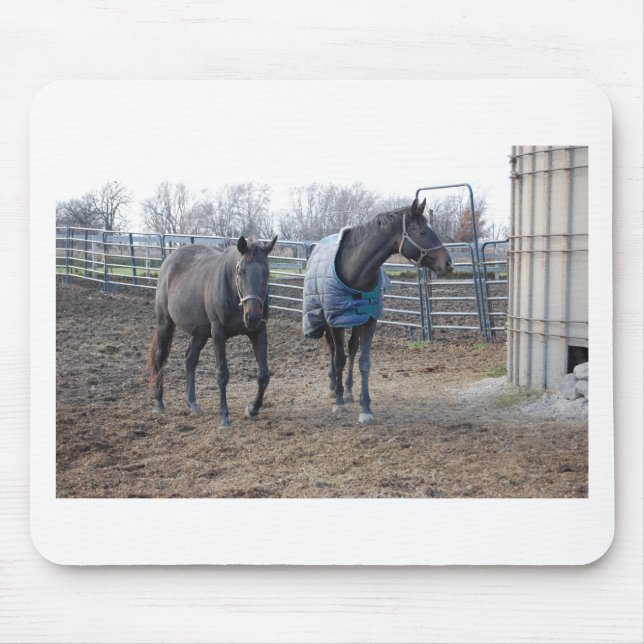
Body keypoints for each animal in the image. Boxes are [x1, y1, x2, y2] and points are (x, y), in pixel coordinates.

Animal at [146, 235, 277, 429]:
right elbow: (222, 374)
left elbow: (264, 375)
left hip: (200, 333)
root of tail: (169, 261)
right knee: (160, 358)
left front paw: (252, 409)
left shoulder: (259, 331)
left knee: (190, 358)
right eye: (241, 272)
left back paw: (192, 402)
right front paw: (224, 417)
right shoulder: (218, 333)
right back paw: (158, 402)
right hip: (165, 323)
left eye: (267, 273)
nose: (252, 316)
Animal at [303, 197, 453, 425]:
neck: (355, 269)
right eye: (421, 231)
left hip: (356, 319)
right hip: (327, 320)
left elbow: (364, 361)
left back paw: (348, 391)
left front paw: (365, 408)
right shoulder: (336, 320)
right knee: (334, 350)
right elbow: (339, 358)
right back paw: (334, 388)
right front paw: (339, 402)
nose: (448, 263)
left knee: (352, 349)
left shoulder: (369, 319)